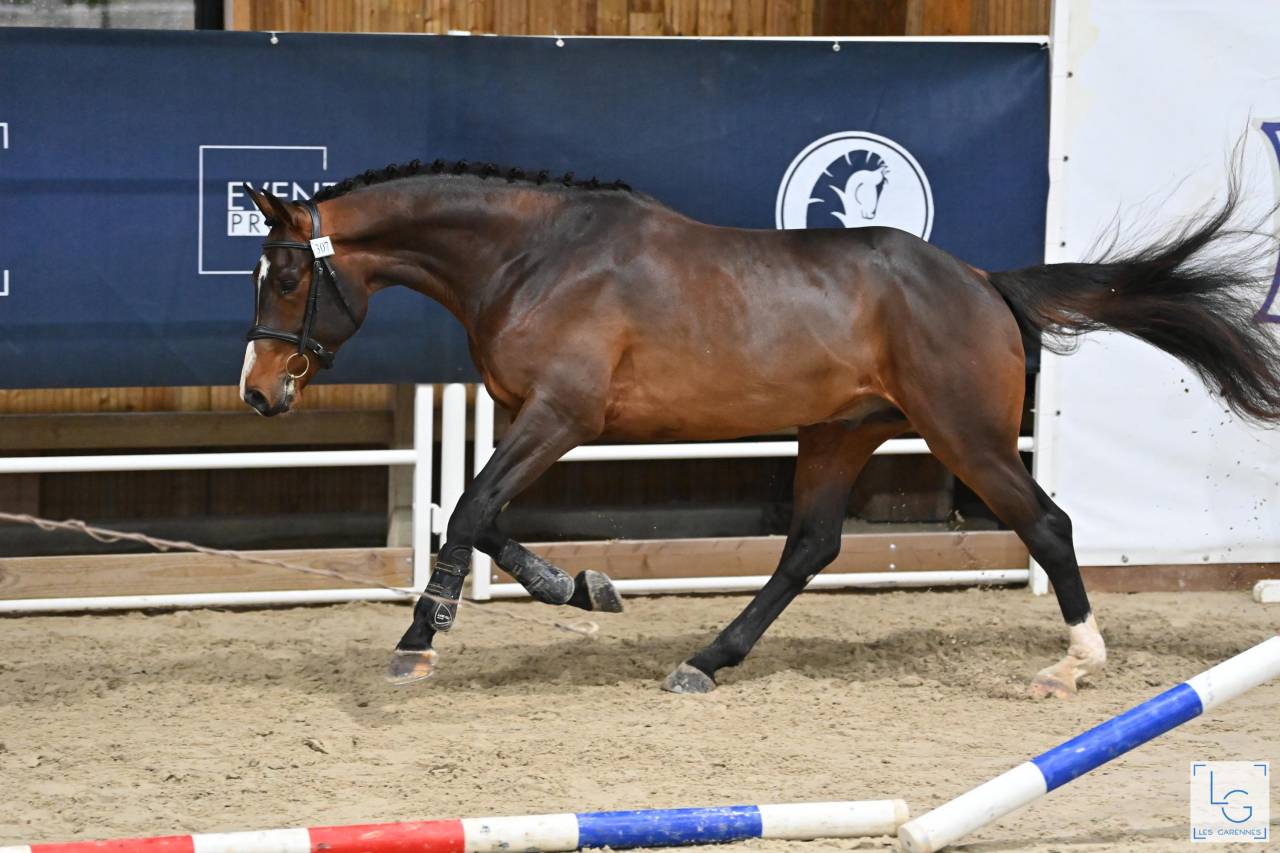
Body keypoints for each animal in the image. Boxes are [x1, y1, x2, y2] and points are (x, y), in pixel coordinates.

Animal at [239, 158, 1280, 697]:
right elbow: (488, 517)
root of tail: (982, 281)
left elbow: (467, 511)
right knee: (809, 546)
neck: (537, 257)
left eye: (286, 276)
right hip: (839, 431)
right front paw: (587, 588)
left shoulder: (560, 416)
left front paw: (421, 636)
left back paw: (1078, 662)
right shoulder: (526, 415)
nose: (257, 391)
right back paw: (705, 660)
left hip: (965, 436)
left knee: (1048, 524)